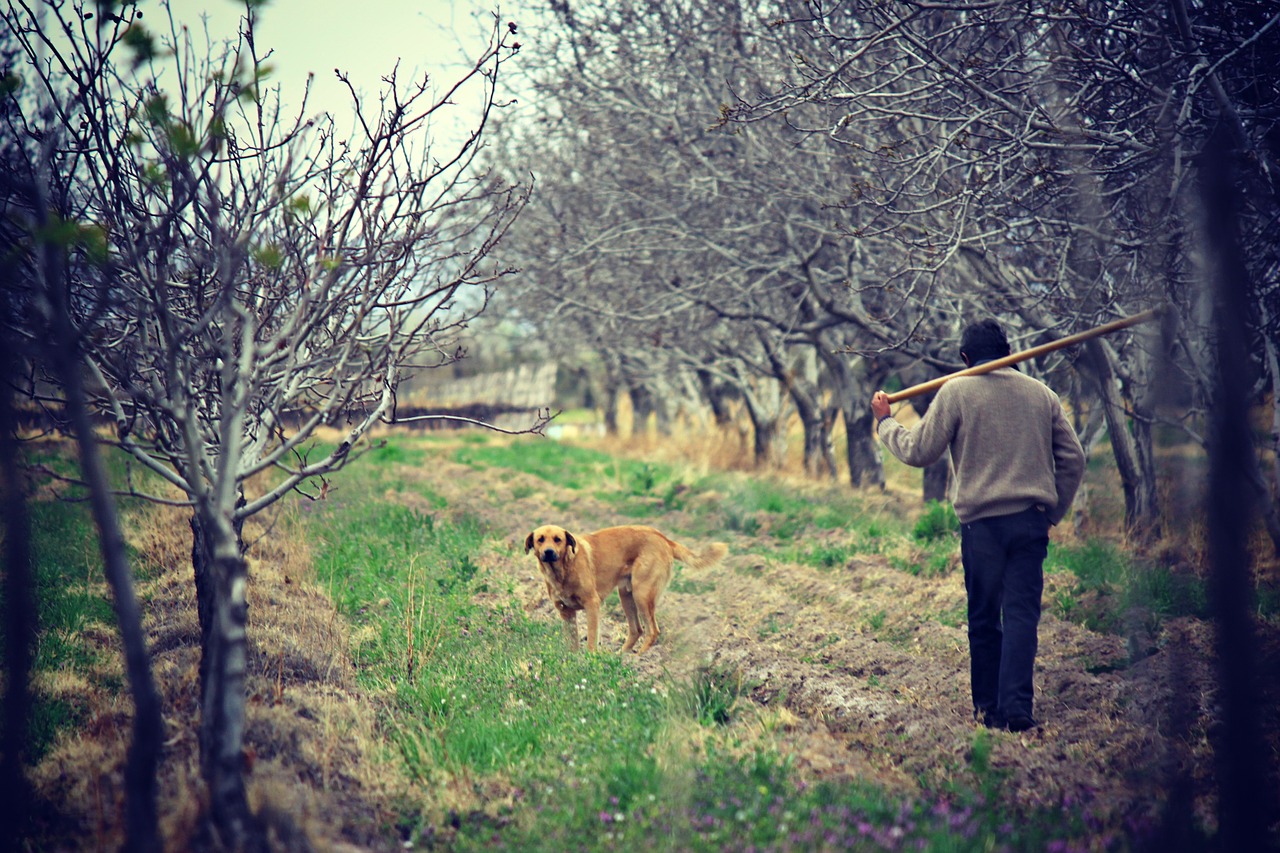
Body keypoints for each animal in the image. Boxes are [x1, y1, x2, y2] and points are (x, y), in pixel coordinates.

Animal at [522, 517, 727, 650]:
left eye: (558, 540)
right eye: (540, 540)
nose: (548, 552)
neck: (562, 571)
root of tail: (663, 538)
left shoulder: (592, 605)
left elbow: (591, 639)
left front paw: (590, 659)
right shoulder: (566, 612)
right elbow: (572, 642)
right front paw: (574, 660)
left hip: (642, 594)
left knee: (652, 631)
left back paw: (636, 660)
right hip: (626, 595)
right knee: (637, 630)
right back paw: (620, 658)